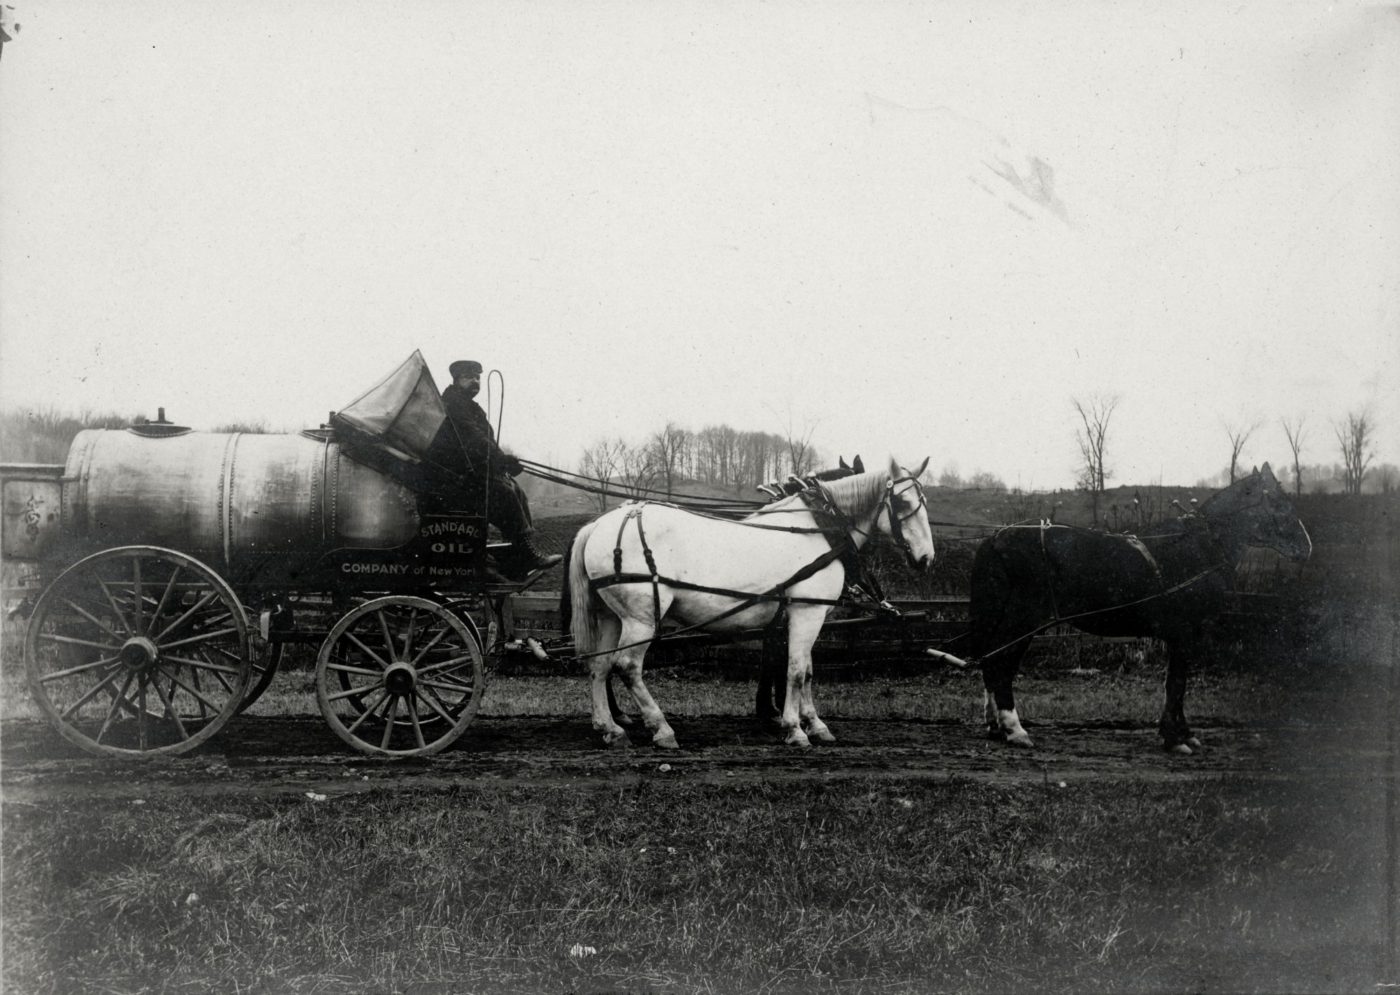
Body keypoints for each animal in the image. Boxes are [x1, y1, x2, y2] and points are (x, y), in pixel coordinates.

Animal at [562, 459, 935, 750]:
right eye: (903, 503)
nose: (926, 558)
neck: (820, 529)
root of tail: (601, 524)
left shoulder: (800, 617)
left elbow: (807, 670)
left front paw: (814, 724)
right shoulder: (807, 612)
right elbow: (795, 671)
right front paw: (794, 729)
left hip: (611, 617)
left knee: (599, 666)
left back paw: (611, 728)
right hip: (641, 618)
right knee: (627, 667)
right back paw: (661, 728)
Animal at [974, 467, 1310, 755]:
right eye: (1278, 503)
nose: (1306, 548)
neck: (1199, 548)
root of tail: (996, 538)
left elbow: (1177, 685)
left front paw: (1183, 733)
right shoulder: (1183, 633)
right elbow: (1176, 683)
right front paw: (1174, 738)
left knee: (992, 661)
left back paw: (996, 726)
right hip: (1024, 618)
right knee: (1000, 664)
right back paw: (1015, 729)